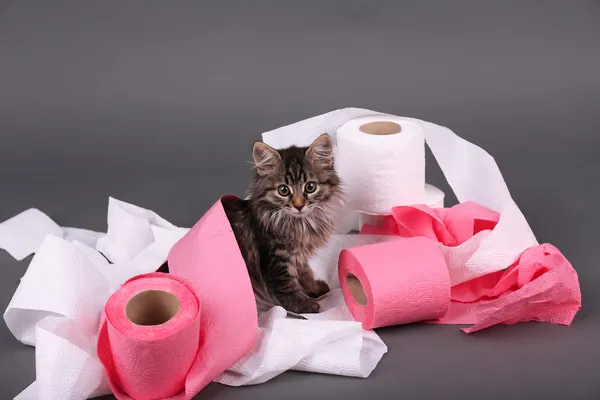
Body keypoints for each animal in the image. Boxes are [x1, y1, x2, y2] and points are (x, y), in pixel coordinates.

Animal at [223, 134, 342, 316]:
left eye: (310, 187)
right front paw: (306, 306)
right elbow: (287, 288)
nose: (299, 205)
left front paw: (314, 288)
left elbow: (305, 273)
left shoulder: (299, 257)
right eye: (284, 190)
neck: (299, 224)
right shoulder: (276, 263)